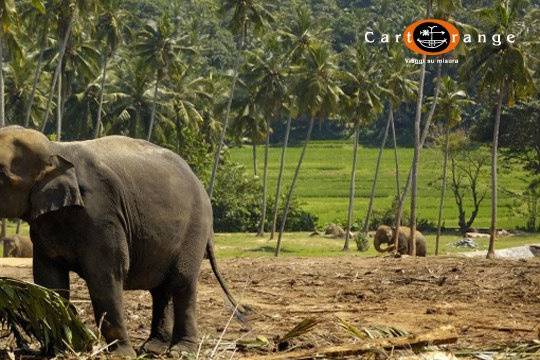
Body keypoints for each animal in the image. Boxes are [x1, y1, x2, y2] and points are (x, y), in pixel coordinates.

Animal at [0, 125, 240, 356]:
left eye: (1, 174)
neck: (56, 148)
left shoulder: (102, 214)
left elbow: (105, 275)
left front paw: (120, 353)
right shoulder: (44, 224)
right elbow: (49, 279)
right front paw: (58, 350)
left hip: (194, 229)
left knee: (182, 282)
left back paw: (181, 351)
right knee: (161, 289)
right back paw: (153, 348)